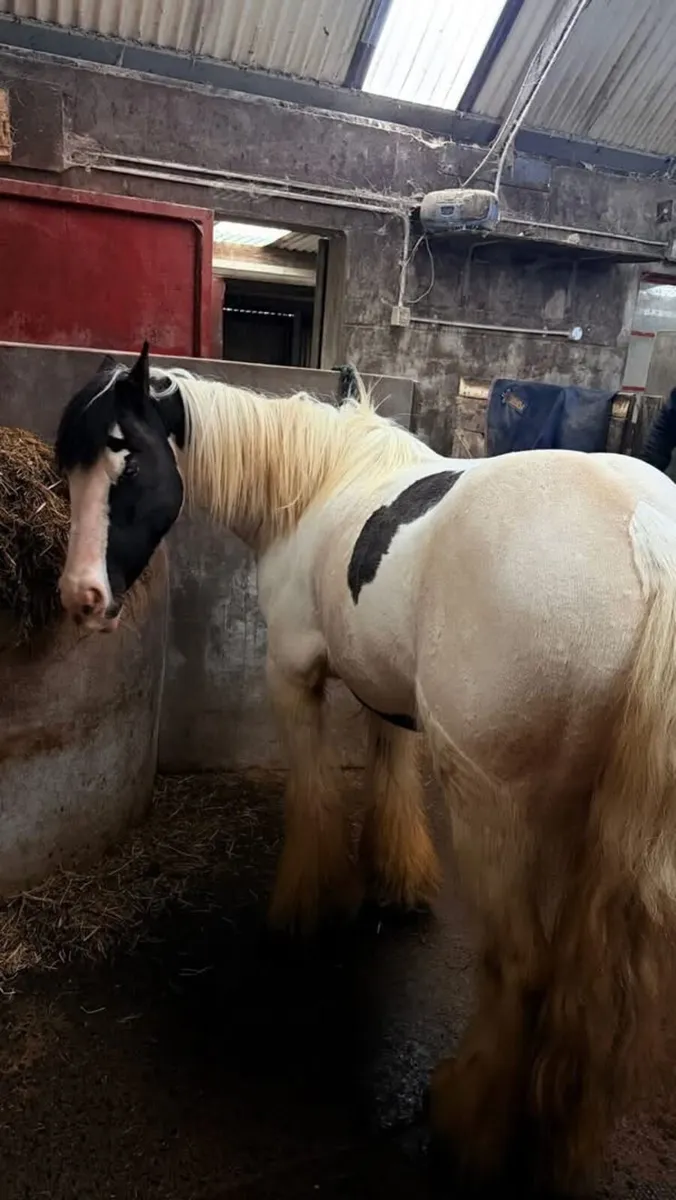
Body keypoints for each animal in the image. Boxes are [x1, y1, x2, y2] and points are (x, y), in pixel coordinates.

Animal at [54, 342, 676, 1193]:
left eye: (131, 459)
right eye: (70, 469)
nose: (81, 598)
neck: (320, 483)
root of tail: (645, 535)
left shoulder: (293, 678)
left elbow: (315, 798)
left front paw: (305, 909)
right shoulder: (389, 694)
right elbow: (389, 777)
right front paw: (399, 882)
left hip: (496, 811)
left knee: (522, 965)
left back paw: (467, 1119)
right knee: (589, 984)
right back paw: (558, 1138)